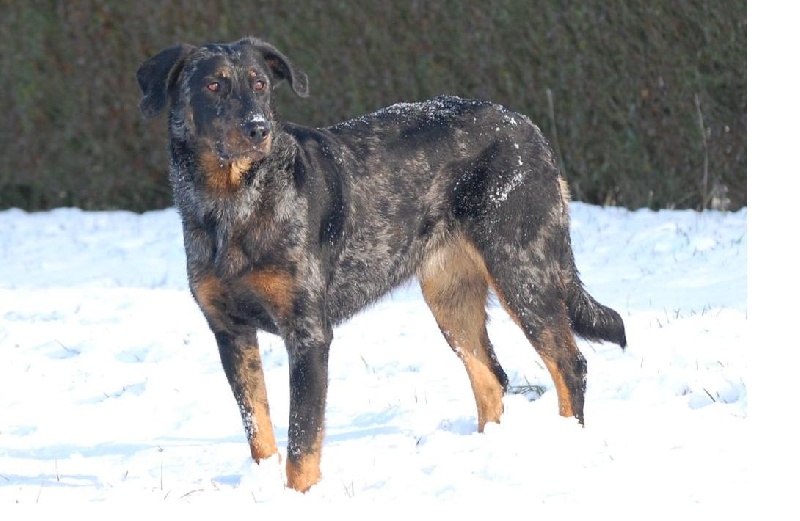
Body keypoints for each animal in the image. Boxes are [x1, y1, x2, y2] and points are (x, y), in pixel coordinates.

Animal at [136, 37, 624, 492]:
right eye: (213, 85)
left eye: (260, 84)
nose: (259, 129)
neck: (232, 204)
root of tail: (530, 129)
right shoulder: (229, 332)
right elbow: (258, 427)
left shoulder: (308, 333)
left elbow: (302, 438)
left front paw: (299, 496)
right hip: (450, 296)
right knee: (492, 379)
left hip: (522, 268)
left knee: (569, 364)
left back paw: (569, 444)